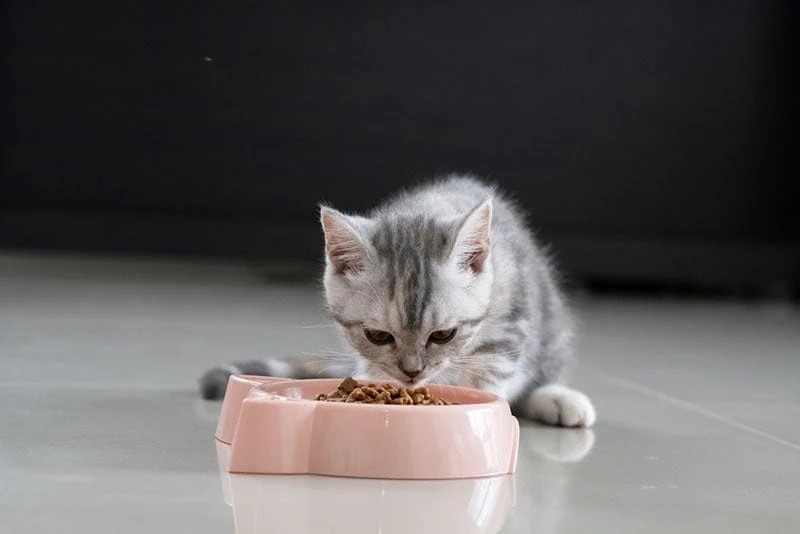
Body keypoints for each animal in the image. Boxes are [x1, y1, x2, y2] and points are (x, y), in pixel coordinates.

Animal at [203, 178, 596, 430]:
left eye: (444, 335)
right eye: (378, 336)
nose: (412, 372)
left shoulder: (509, 320)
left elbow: (490, 376)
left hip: (552, 322)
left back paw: (558, 399)